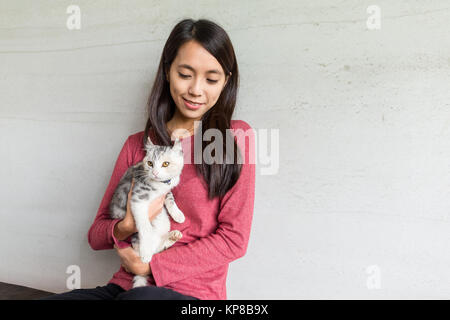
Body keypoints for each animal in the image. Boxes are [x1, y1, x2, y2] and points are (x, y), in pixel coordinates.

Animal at [110, 135, 185, 288]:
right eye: (150, 163)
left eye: (165, 164)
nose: (154, 173)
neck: (159, 185)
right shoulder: (137, 199)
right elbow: (144, 227)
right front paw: (145, 252)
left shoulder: (165, 191)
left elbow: (170, 198)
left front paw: (178, 214)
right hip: (134, 235)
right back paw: (147, 250)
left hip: (164, 222)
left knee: (159, 246)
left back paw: (173, 236)